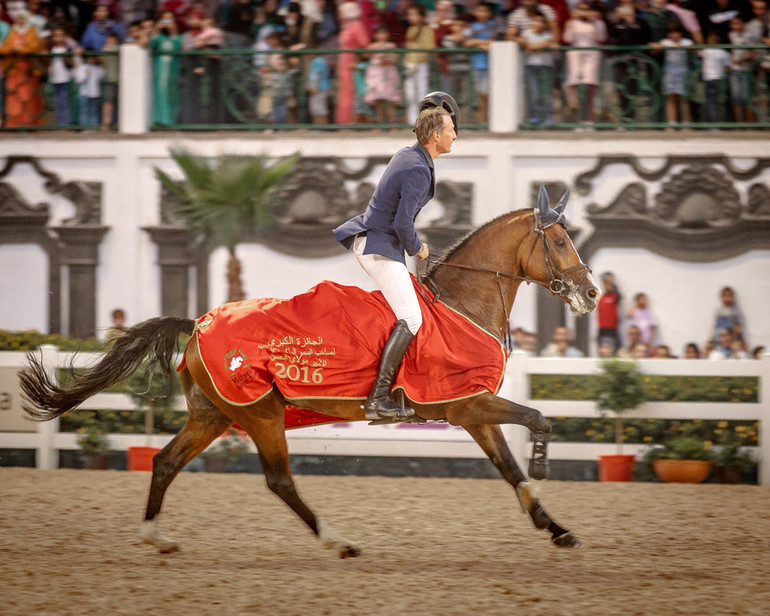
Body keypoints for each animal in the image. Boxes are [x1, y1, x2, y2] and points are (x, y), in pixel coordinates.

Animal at [16, 188, 592, 560]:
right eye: (561, 242)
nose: (591, 294)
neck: (461, 304)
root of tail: (198, 321)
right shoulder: (468, 403)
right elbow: (538, 420)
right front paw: (545, 467)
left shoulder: (472, 410)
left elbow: (509, 471)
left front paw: (556, 528)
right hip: (262, 413)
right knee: (279, 480)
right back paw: (337, 540)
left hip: (214, 416)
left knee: (164, 462)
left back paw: (155, 536)